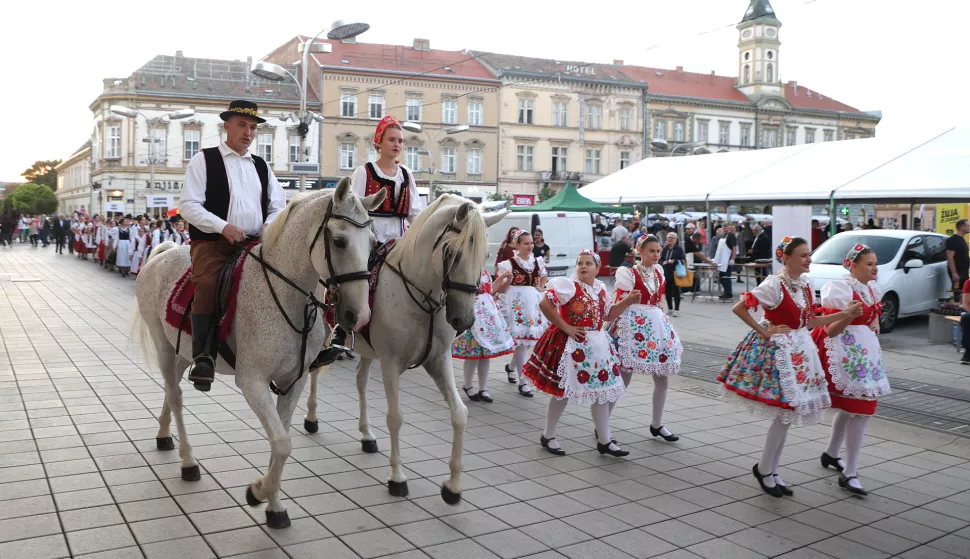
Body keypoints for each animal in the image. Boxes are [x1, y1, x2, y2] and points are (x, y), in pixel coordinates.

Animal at [132, 179, 382, 528]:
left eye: (373, 243)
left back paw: (163, 434)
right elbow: (282, 443)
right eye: (339, 240)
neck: (288, 296)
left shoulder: (294, 381)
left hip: (182, 350)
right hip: (164, 347)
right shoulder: (252, 382)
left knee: (172, 390)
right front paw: (258, 492)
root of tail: (163, 253)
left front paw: (274, 505)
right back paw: (188, 462)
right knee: (176, 397)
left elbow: (282, 441)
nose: (358, 316)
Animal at [306, 196, 506, 504]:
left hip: (368, 350)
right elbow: (395, 418)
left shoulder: (438, 361)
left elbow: (459, 413)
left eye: (486, 255)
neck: (422, 298)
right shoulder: (391, 364)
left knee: (360, 381)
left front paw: (453, 485)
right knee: (315, 372)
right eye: (452, 253)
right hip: (326, 335)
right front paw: (397, 478)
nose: (464, 320)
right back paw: (312, 419)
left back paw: (366, 435)